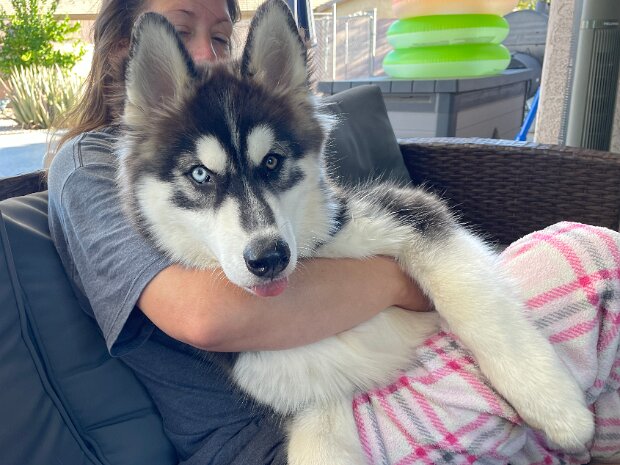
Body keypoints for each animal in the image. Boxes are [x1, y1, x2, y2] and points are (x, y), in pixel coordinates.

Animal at [117, 1, 594, 463]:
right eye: (200, 174)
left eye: (271, 162)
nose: (269, 257)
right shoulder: (311, 389)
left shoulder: (407, 213)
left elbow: (476, 303)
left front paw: (553, 404)